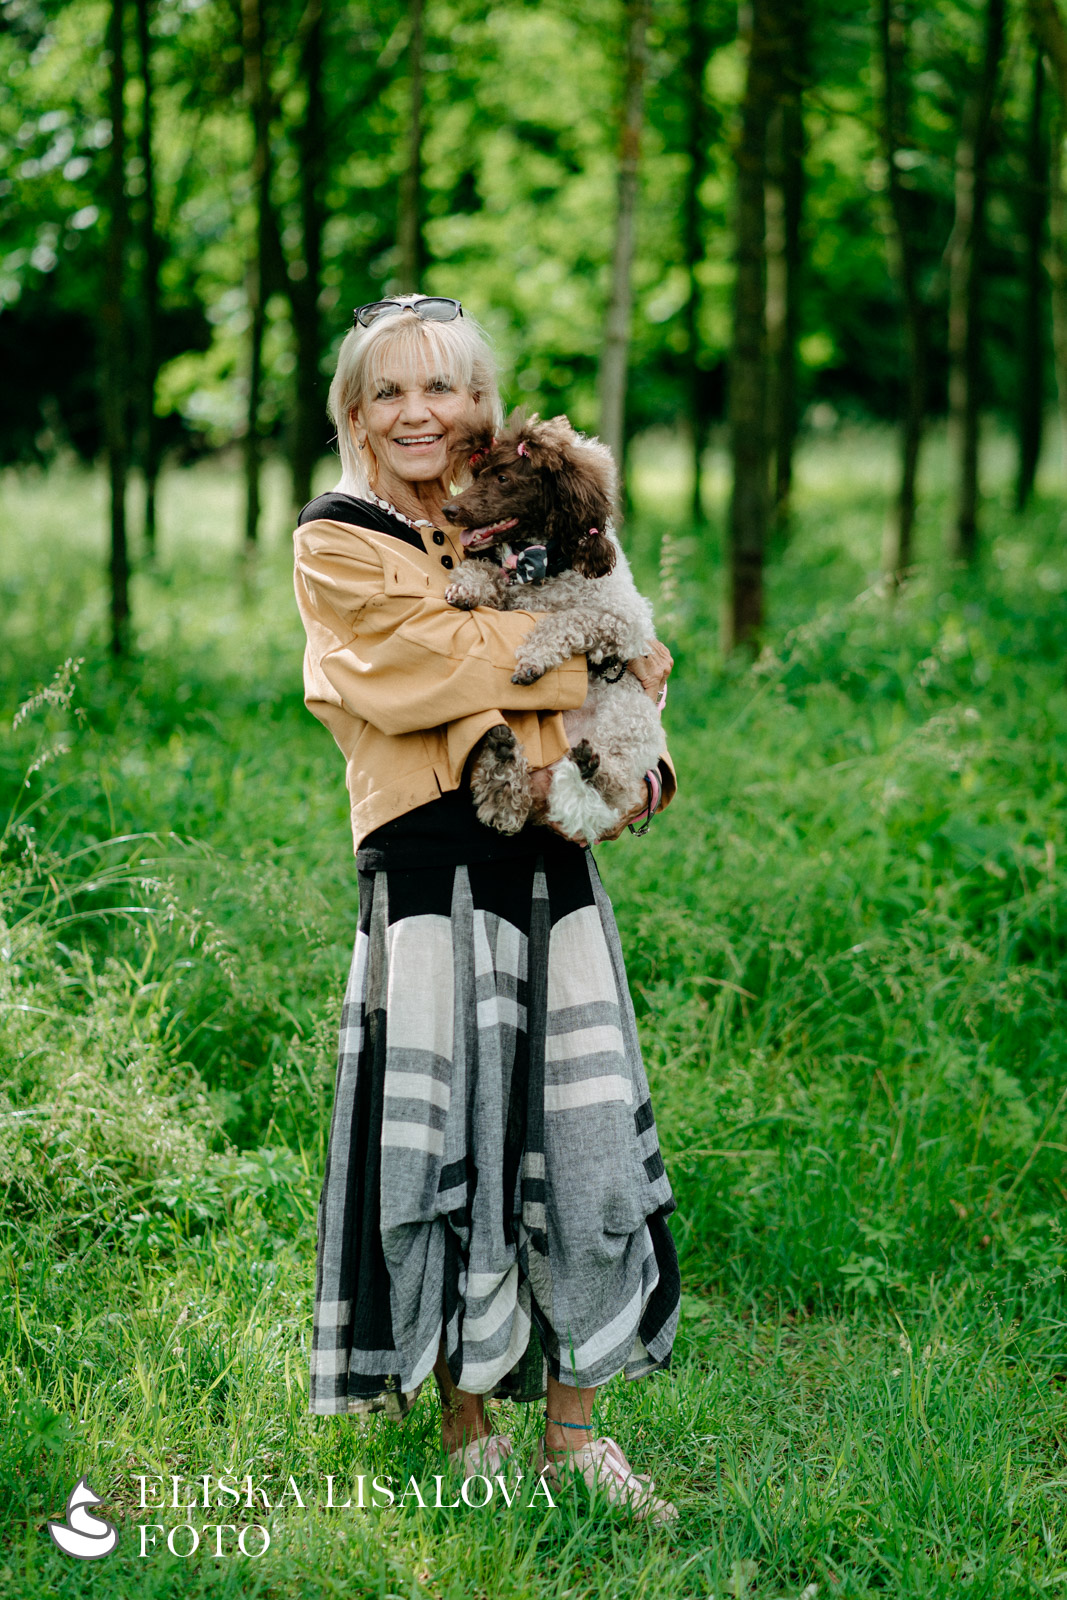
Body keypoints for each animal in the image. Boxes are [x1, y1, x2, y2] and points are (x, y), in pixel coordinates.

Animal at [441, 412, 664, 843]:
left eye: (503, 478)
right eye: (478, 474)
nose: (449, 510)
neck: (545, 562)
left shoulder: (625, 619)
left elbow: (566, 619)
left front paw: (533, 660)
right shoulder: (509, 585)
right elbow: (485, 574)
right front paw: (466, 587)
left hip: (631, 718)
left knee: (620, 789)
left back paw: (592, 767)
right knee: (512, 809)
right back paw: (503, 769)